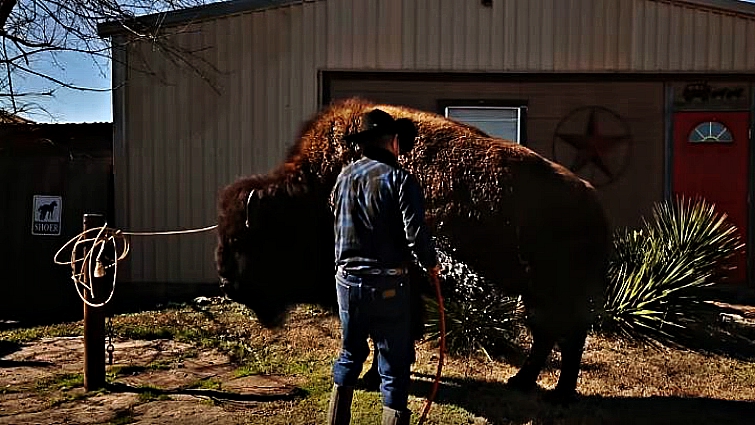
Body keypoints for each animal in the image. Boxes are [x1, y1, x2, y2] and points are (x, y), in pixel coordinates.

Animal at [215, 97, 611, 403]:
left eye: (242, 240)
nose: (226, 283)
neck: (311, 192)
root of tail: (592, 199)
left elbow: (388, 335)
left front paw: (372, 378)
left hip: (559, 293)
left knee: (569, 337)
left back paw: (559, 394)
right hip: (534, 295)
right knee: (547, 335)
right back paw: (521, 382)